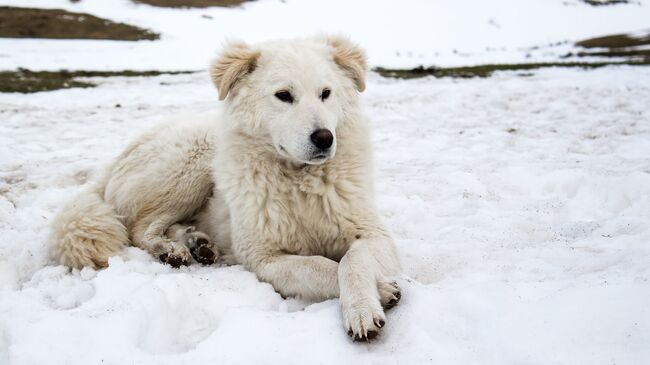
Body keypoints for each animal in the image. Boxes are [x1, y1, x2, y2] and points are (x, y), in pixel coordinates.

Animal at [52, 35, 400, 340]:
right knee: (140, 227)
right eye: (284, 95)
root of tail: (112, 165)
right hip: (190, 165)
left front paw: (363, 304)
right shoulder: (264, 258)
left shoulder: (373, 234)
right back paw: (171, 250)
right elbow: (321, 267)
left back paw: (198, 243)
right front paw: (379, 292)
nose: (325, 138)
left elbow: (353, 263)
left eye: (326, 93)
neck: (300, 180)